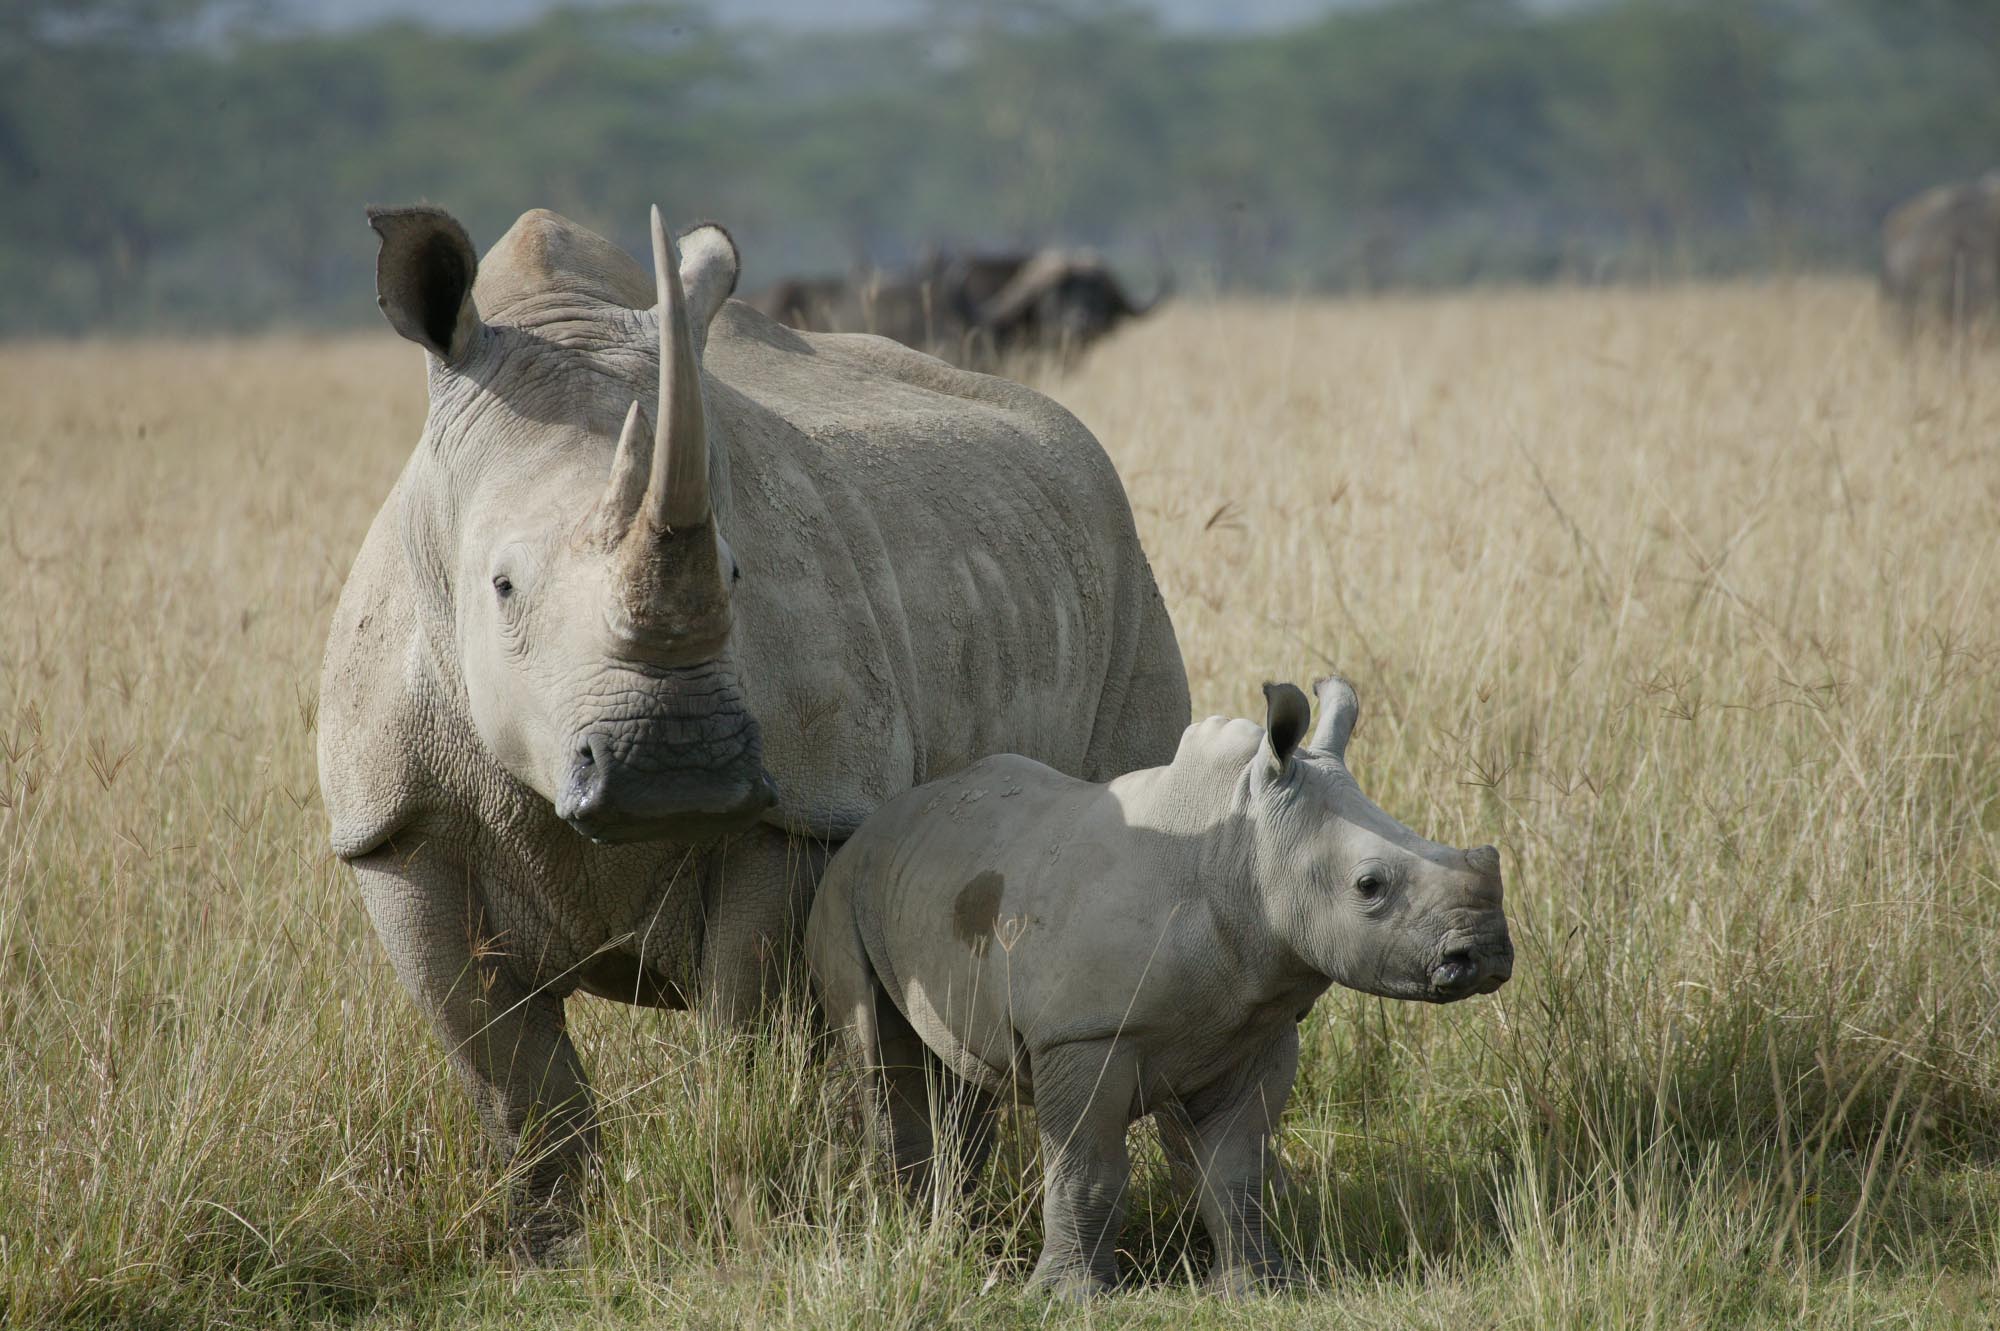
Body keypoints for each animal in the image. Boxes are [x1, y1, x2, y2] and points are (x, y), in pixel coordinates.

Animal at [804, 667, 1504, 1287]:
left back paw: (949, 1235)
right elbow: (1089, 1168)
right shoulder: (1082, 1033)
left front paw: (1260, 1287)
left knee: (957, 1071)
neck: (1237, 855)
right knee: (878, 1056)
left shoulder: (1257, 1027)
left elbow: (1236, 1171)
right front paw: (1070, 1296)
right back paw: (909, 1235)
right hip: (842, 884)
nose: (1488, 953)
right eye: (1369, 886)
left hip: (936, 884)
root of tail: (878, 820)